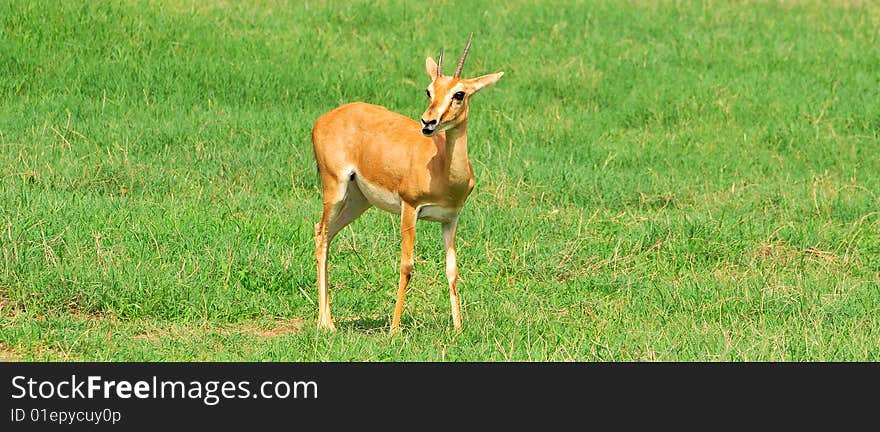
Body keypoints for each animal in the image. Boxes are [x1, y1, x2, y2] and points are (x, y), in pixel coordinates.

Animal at [312, 35, 502, 332]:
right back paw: (326, 324)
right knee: (321, 234)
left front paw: (458, 328)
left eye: (459, 94)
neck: (442, 171)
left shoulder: (450, 219)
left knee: (328, 234)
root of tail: (323, 120)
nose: (428, 122)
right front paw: (393, 330)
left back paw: (328, 319)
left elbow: (452, 269)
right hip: (335, 189)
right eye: (429, 90)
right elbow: (407, 265)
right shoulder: (410, 208)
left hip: (358, 201)